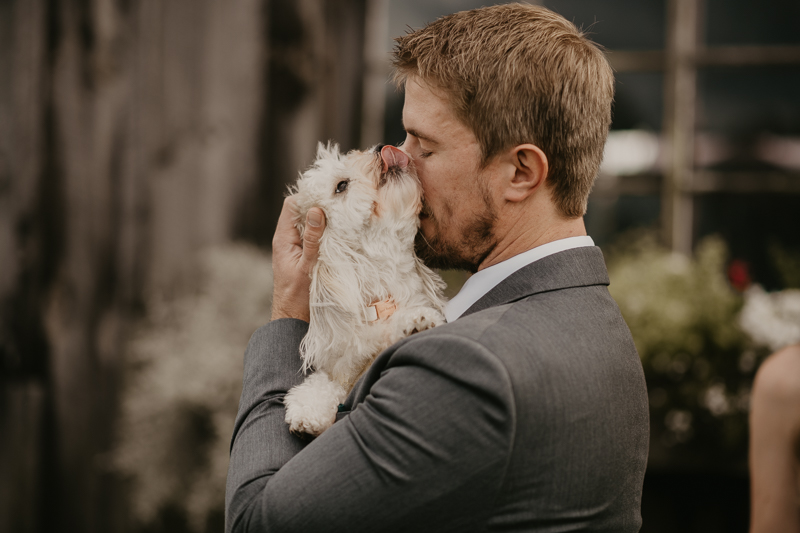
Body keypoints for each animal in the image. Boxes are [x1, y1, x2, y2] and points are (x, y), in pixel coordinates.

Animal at [286, 142, 450, 436]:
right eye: (341, 186)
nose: (379, 148)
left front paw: (417, 322)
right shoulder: (339, 364)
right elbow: (325, 382)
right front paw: (308, 408)